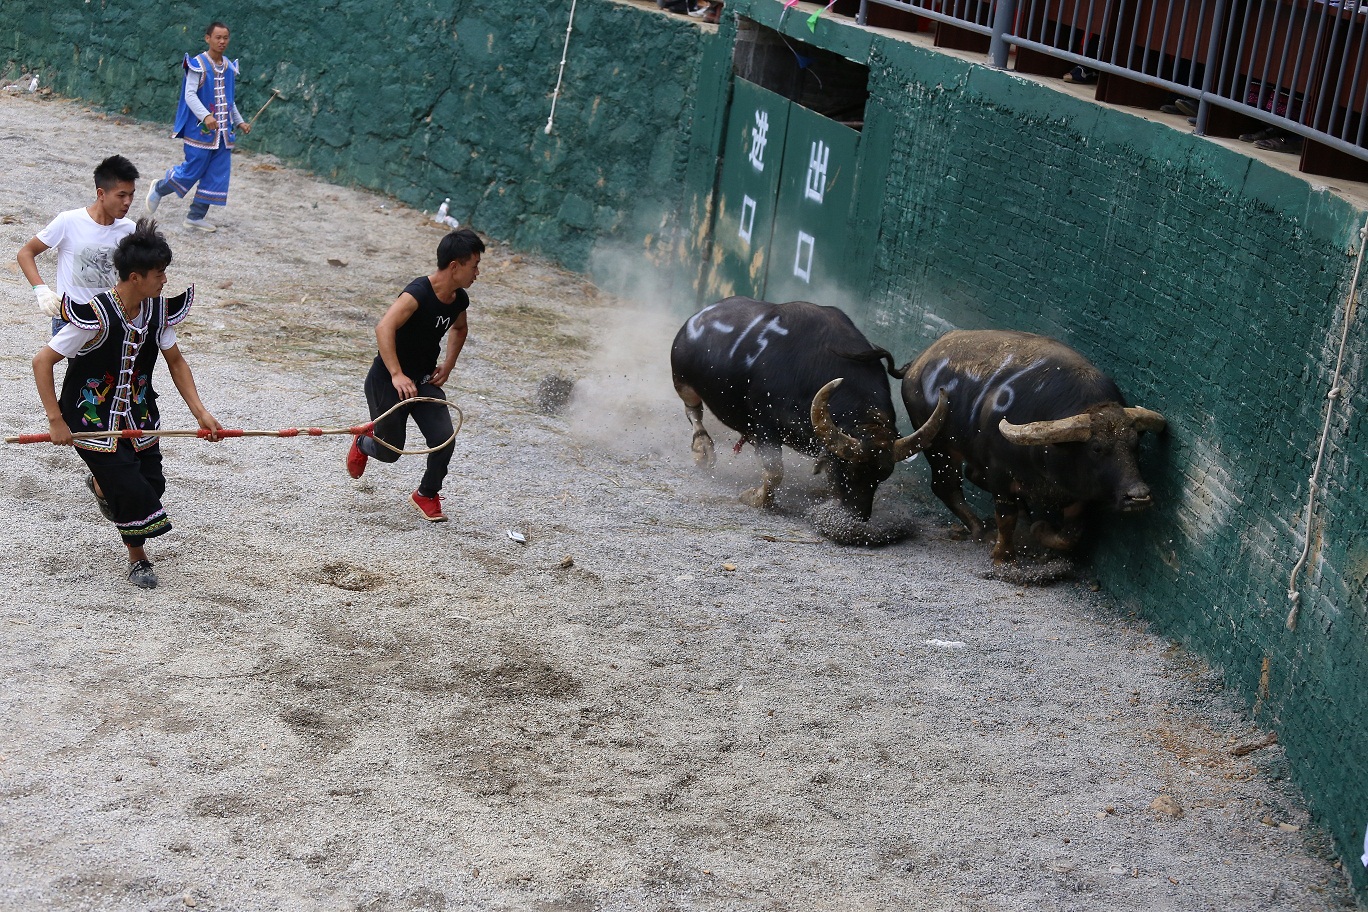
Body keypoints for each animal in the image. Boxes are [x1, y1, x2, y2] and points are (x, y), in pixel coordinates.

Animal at [667, 299, 946, 519]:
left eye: (883, 475)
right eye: (846, 469)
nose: (858, 517)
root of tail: (695, 319)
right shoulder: (765, 425)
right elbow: (774, 471)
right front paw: (755, 497)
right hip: (682, 381)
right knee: (694, 412)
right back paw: (702, 450)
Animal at [897, 329, 1165, 563]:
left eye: (1135, 444)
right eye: (1096, 448)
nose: (1138, 495)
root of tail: (916, 364)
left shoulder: (1076, 491)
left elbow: (1071, 534)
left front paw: (1038, 529)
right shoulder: (999, 472)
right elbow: (1006, 517)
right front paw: (1004, 556)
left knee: (971, 475)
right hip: (936, 444)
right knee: (946, 485)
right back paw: (981, 530)